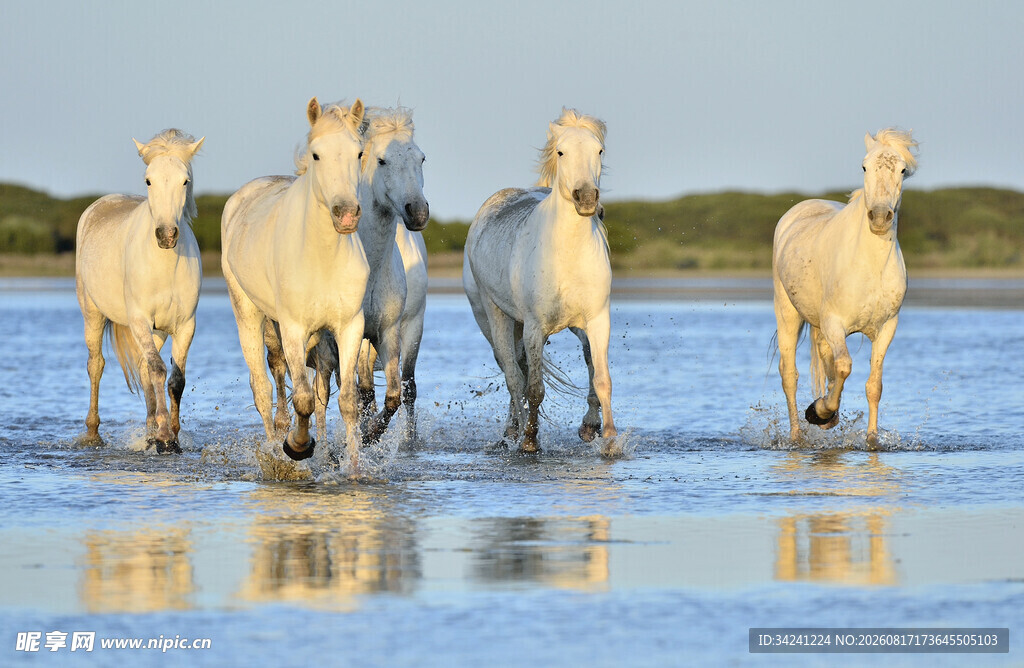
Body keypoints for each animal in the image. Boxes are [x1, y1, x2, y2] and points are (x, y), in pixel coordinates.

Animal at [75, 129, 204, 453]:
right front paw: (165, 439)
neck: (164, 266)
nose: (166, 235)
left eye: (185, 180)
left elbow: (175, 379)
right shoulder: (139, 321)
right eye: (148, 180)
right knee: (96, 365)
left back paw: (149, 432)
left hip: (157, 331)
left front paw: (171, 436)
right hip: (93, 315)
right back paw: (93, 433)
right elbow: (158, 370)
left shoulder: (185, 326)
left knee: (145, 369)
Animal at [221, 97, 369, 467]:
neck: (323, 258)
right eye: (316, 155)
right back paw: (276, 451)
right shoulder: (292, 328)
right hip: (249, 316)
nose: (346, 214)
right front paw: (297, 446)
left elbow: (347, 401)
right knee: (262, 388)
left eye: (359, 152)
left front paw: (355, 469)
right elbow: (302, 397)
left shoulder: (349, 327)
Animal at [301, 107, 429, 444]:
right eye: (381, 160)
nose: (418, 212)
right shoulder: (354, 335)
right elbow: (363, 392)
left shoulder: (396, 329)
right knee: (324, 392)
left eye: (422, 158)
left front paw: (381, 437)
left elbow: (398, 393)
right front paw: (366, 436)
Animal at [463, 108, 617, 454]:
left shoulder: (597, 320)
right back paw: (514, 433)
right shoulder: (534, 327)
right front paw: (530, 441)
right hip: (494, 317)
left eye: (600, 150)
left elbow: (602, 378)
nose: (587, 199)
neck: (567, 253)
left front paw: (608, 437)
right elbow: (533, 388)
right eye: (561, 152)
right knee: (512, 374)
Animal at [773, 128, 918, 448]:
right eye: (864, 166)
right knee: (789, 375)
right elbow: (844, 367)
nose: (880, 217)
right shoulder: (834, 323)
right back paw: (798, 435)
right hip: (788, 314)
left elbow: (873, 384)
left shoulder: (887, 327)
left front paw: (871, 439)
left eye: (903, 170)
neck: (870, 266)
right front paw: (818, 412)